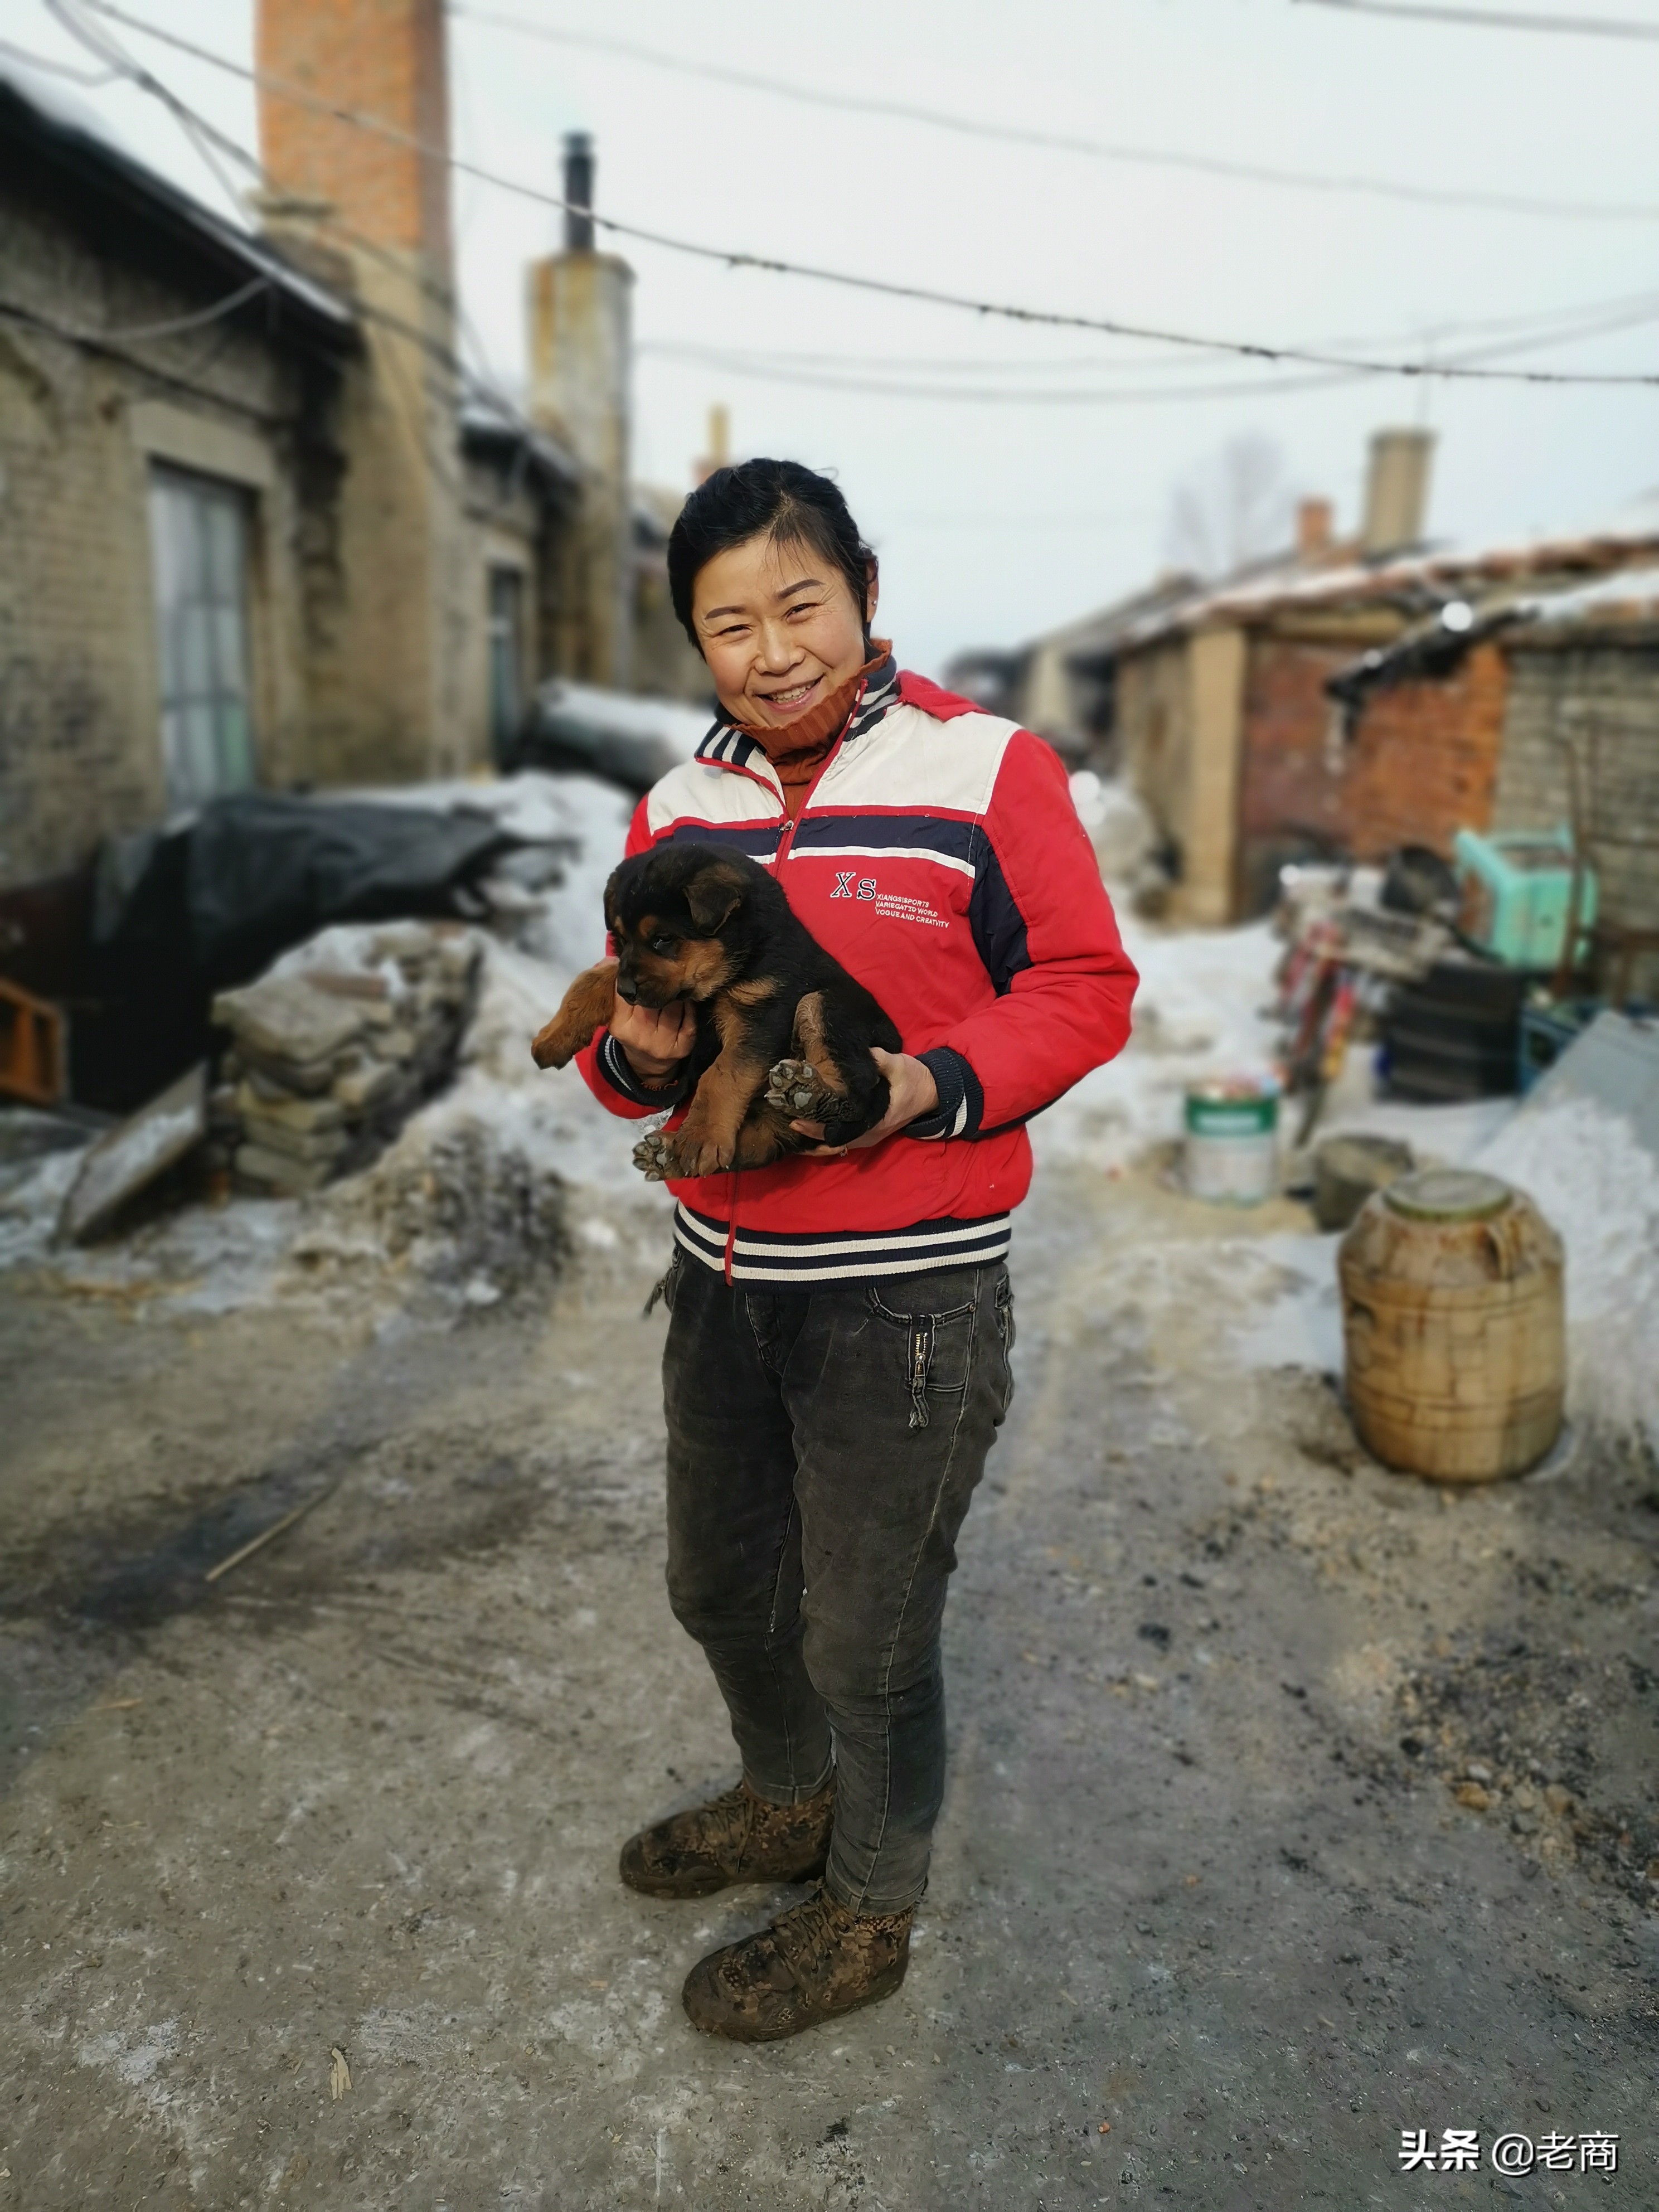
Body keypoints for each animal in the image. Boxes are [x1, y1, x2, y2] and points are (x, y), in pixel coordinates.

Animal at [533, 840, 902, 1185]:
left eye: (663, 939)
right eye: (621, 939)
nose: (627, 993)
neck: (741, 958)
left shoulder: (764, 1011)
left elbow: (723, 1073)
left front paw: (700, 1138)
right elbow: (593, 977)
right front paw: (552, 1039)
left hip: (824, 1005)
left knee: (860, 1090)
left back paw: (806, 1093)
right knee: (757, 1146)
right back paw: (667, 1153)